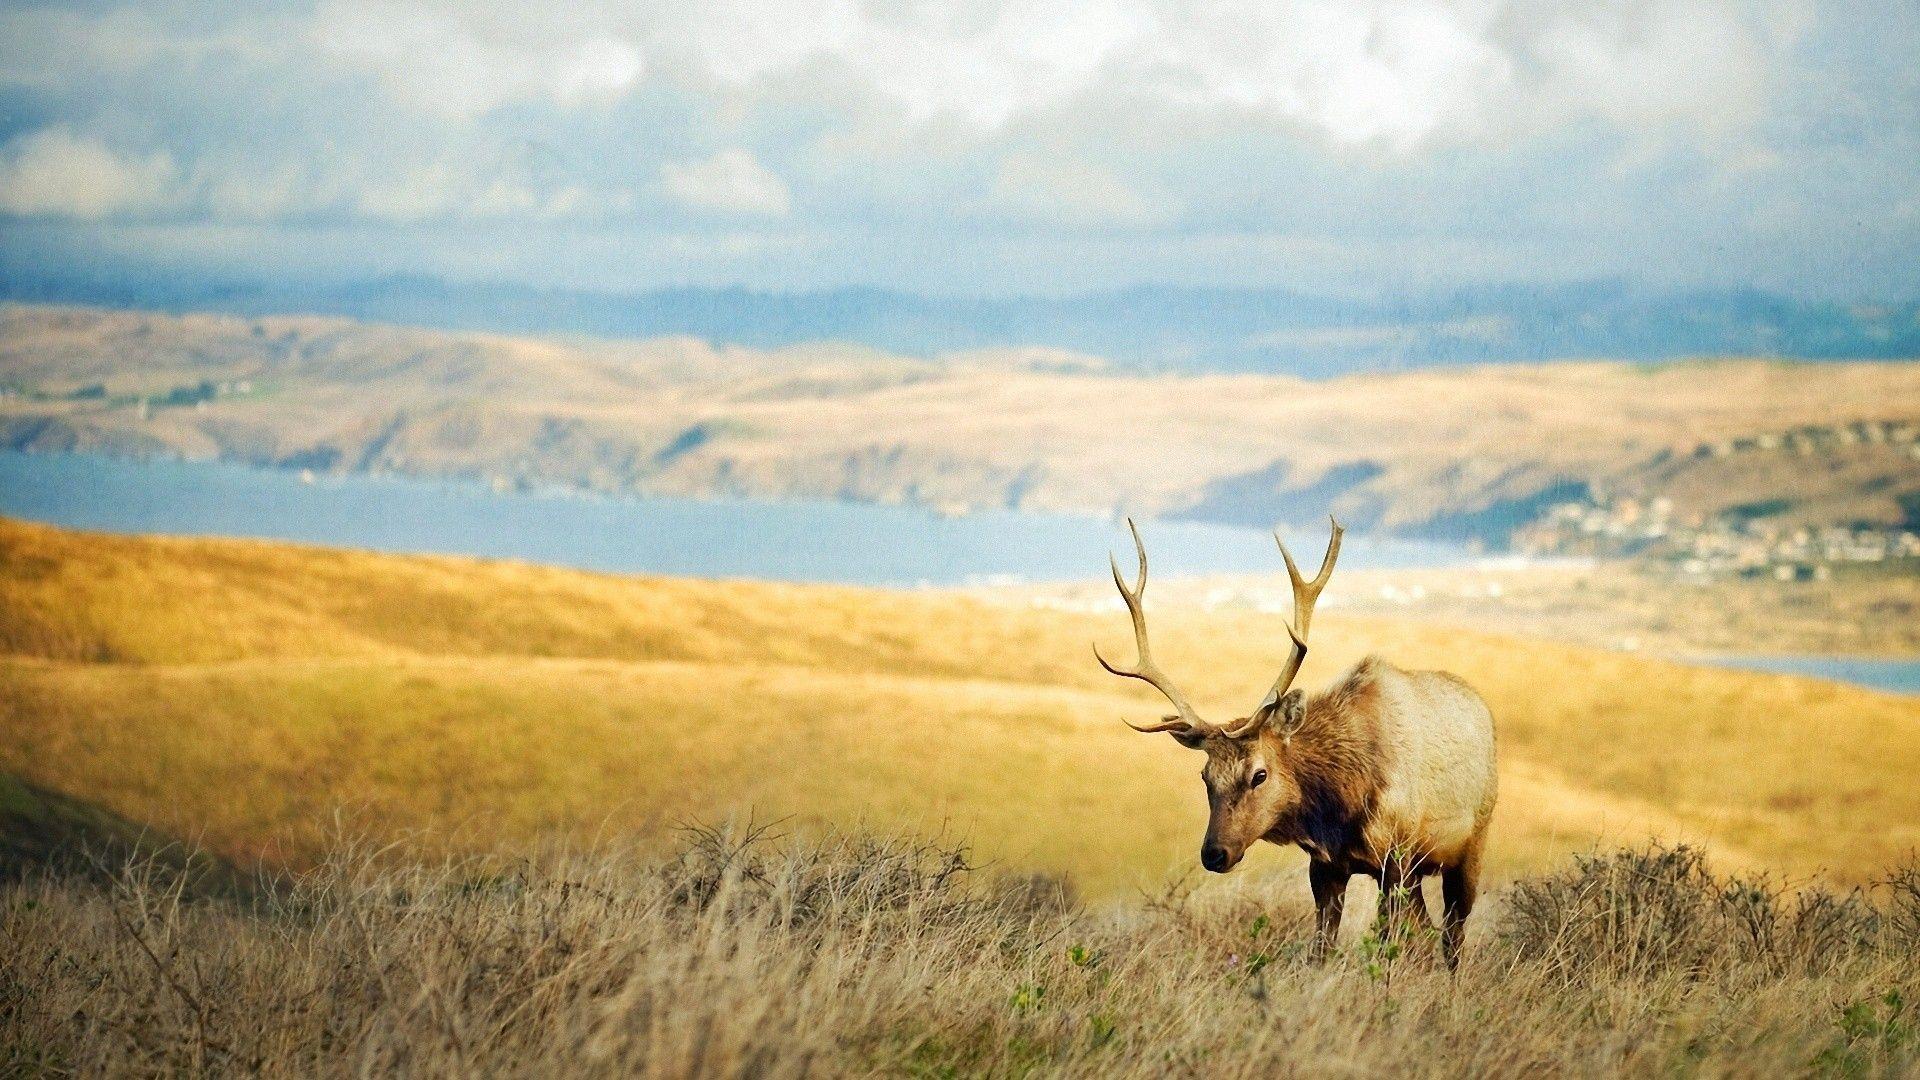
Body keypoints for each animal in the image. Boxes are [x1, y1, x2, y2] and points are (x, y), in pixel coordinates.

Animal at [1095, 517, 1497, 968]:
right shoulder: (1325, 867)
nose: (1214, 853)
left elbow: (1387, 947)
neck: (1340, 804)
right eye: (1205, 776)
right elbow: (1321, 948)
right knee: (1430, 928)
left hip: (1471, 844)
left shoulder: (1396, 857)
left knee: (1452, 935)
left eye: (1259, 774)